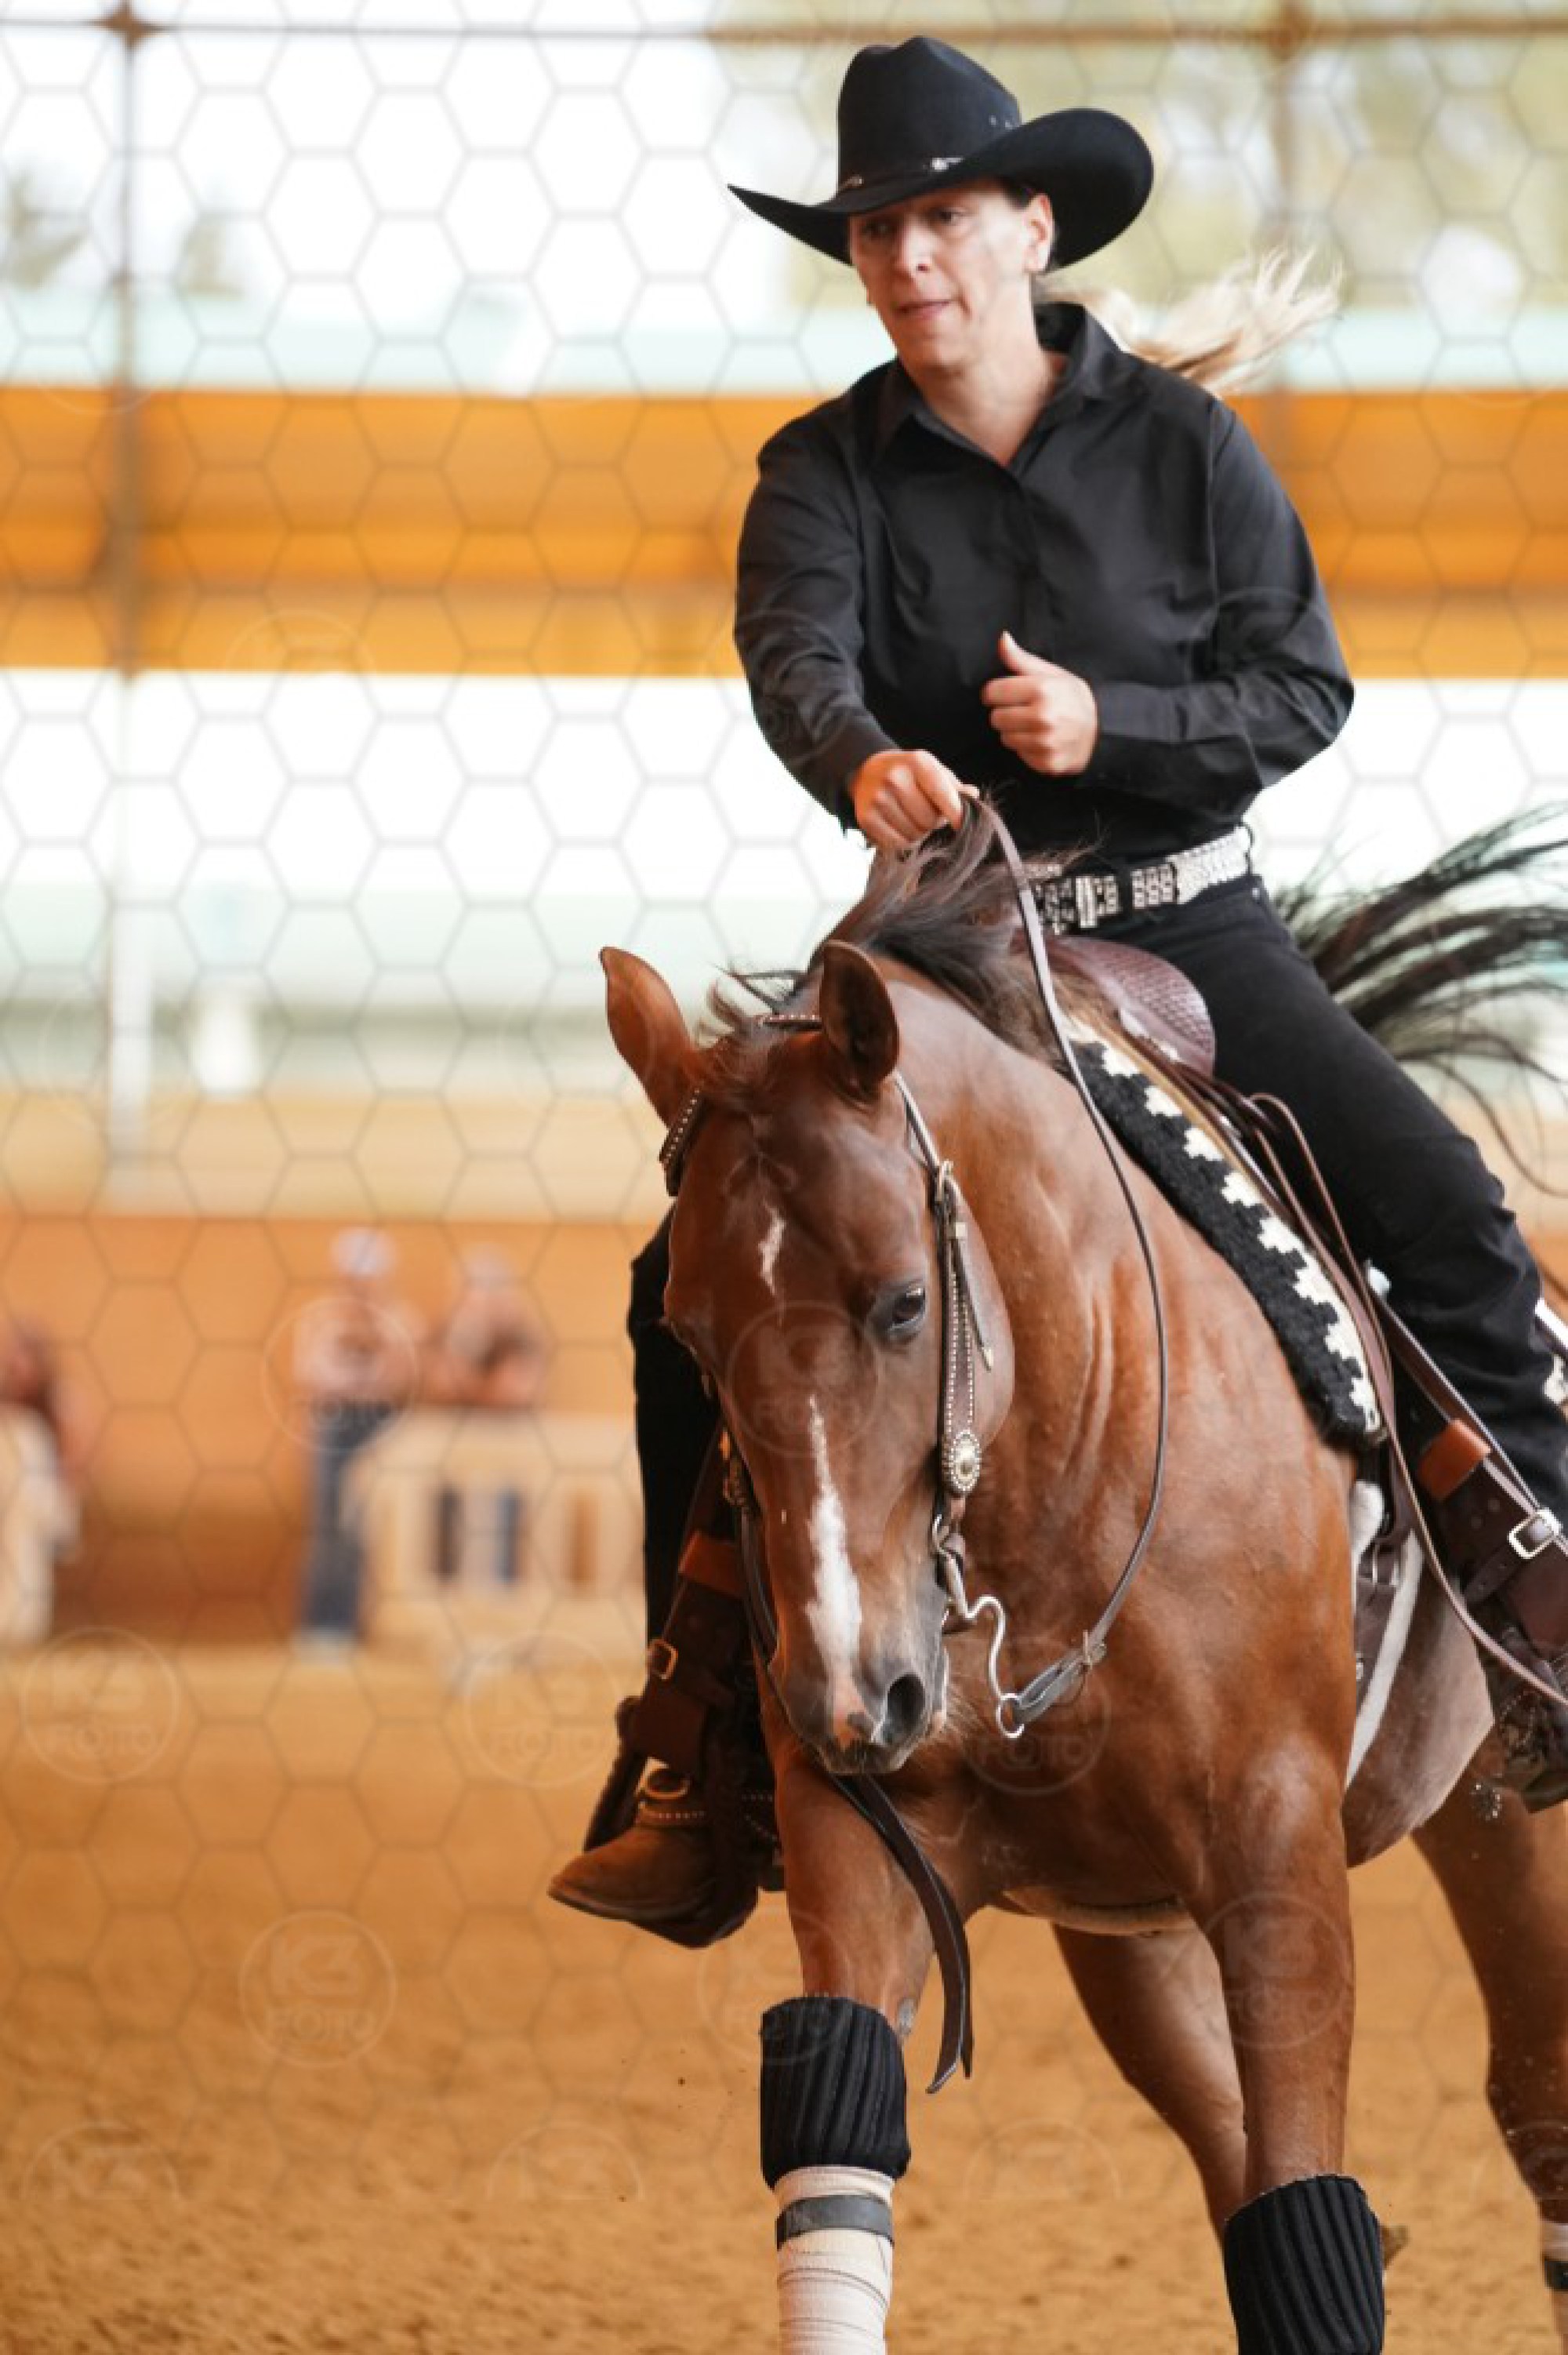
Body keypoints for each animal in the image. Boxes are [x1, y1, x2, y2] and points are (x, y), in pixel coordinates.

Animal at [600, 808, 1568, 2355]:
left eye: (904, 1301)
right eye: (686, 1332)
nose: (853, 1690)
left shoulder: (1278, 1865)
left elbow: (1310, 2217)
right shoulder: (860, 1834)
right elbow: (838, 2140)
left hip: (1510, 1831)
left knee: (1534, 2105)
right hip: (1131, 1935)